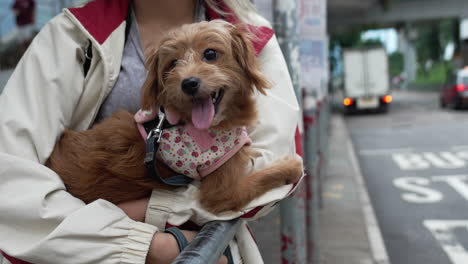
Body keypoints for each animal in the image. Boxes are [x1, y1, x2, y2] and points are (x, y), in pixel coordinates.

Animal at [45, 20, 302, 214]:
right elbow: (261, 178)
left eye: (210, 53)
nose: (188, 83)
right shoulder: (223, 193)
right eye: (173, 63)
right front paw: (290, 167)